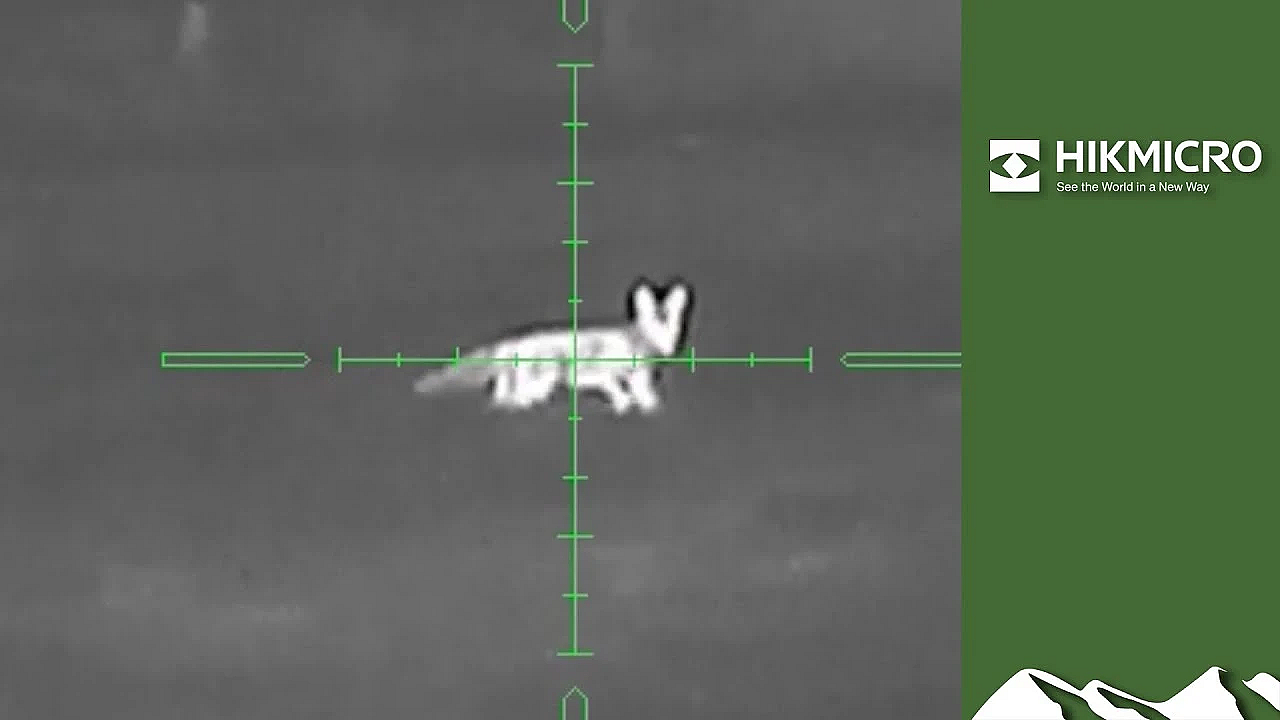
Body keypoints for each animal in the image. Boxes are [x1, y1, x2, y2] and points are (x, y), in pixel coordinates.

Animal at [412, 277, 694, 416]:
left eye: (672, 325)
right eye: (654, 323)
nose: (669, 346)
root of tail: (511, 339)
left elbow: (628, 386)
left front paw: (636, 401)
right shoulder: (588, 371)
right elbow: (617, 384)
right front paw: (632, 401)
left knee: (503, 390)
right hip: (547, 367)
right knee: (519, 391)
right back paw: (524, 400)